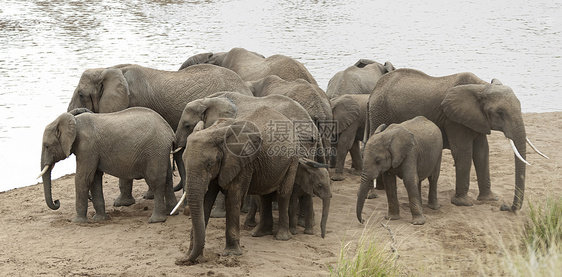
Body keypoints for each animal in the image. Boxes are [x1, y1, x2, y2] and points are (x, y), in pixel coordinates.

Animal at [39, 106, 176, 223]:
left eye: (47, 146)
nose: (57, 201)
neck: (75, 122)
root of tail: (170, 131)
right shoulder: (92, 151)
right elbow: (94, 179)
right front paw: (100, 219)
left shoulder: (87, 148)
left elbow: (83, 179)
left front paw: (77, 221)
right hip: (161, 151)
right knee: (168, 179)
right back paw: (172, 212)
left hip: (155, 150)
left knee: (156, 181)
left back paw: (156, 220)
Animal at [366, 68, 544, 210]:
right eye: (500, 112)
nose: (505, 207)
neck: (481, 86)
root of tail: (373, 91)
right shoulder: (453, 120)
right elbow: (463, 152)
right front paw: (464, 203)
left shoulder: (476, 119)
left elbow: (482, 152)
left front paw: (489, 199)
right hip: (379, 112)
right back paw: (375, 192)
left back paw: (381, 188)